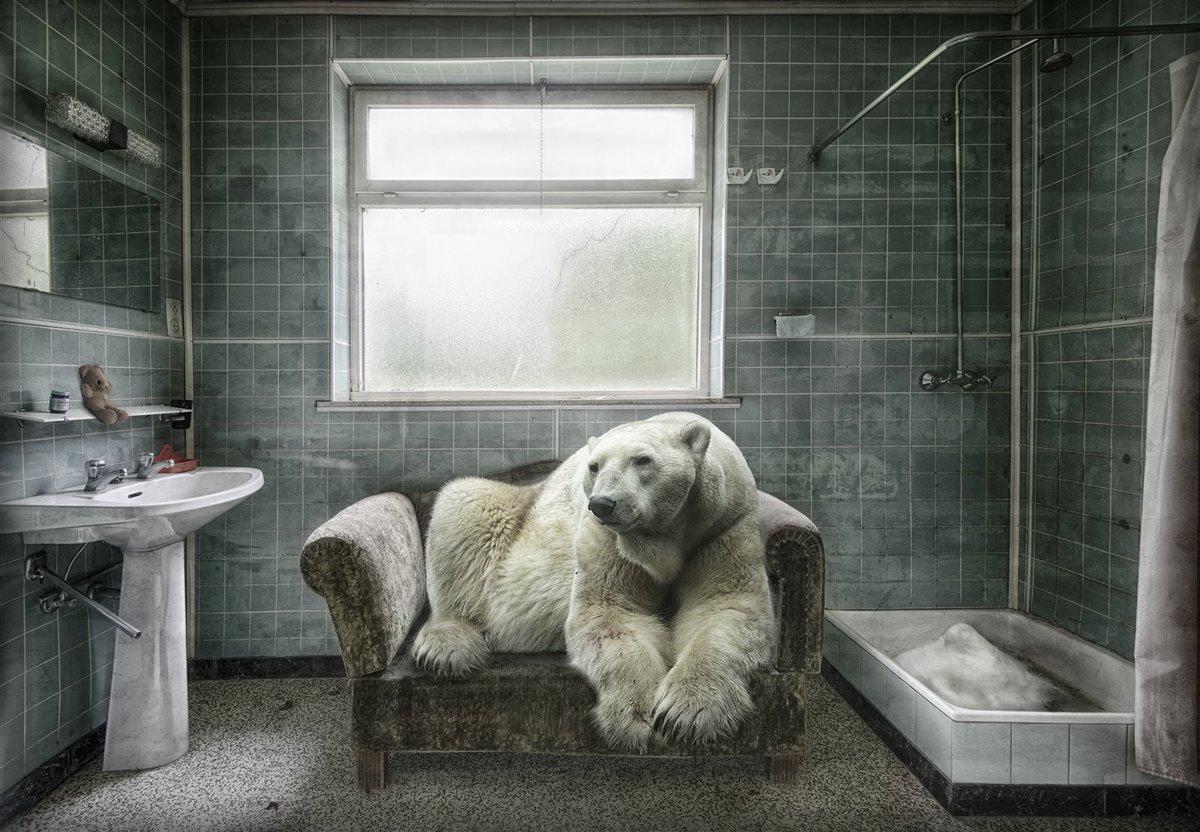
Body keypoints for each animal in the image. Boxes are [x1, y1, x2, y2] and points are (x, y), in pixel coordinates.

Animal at [410, 412, 773, 751]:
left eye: (642, 460)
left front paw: (684, 715)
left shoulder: (723, 525)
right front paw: (637, 718)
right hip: (514, 519)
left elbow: (724, 608)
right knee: (464, 505)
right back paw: (446, 648)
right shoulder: (609, 539)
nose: (603, 504)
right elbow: (610, 614)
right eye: (594, 466)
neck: (666, 538)